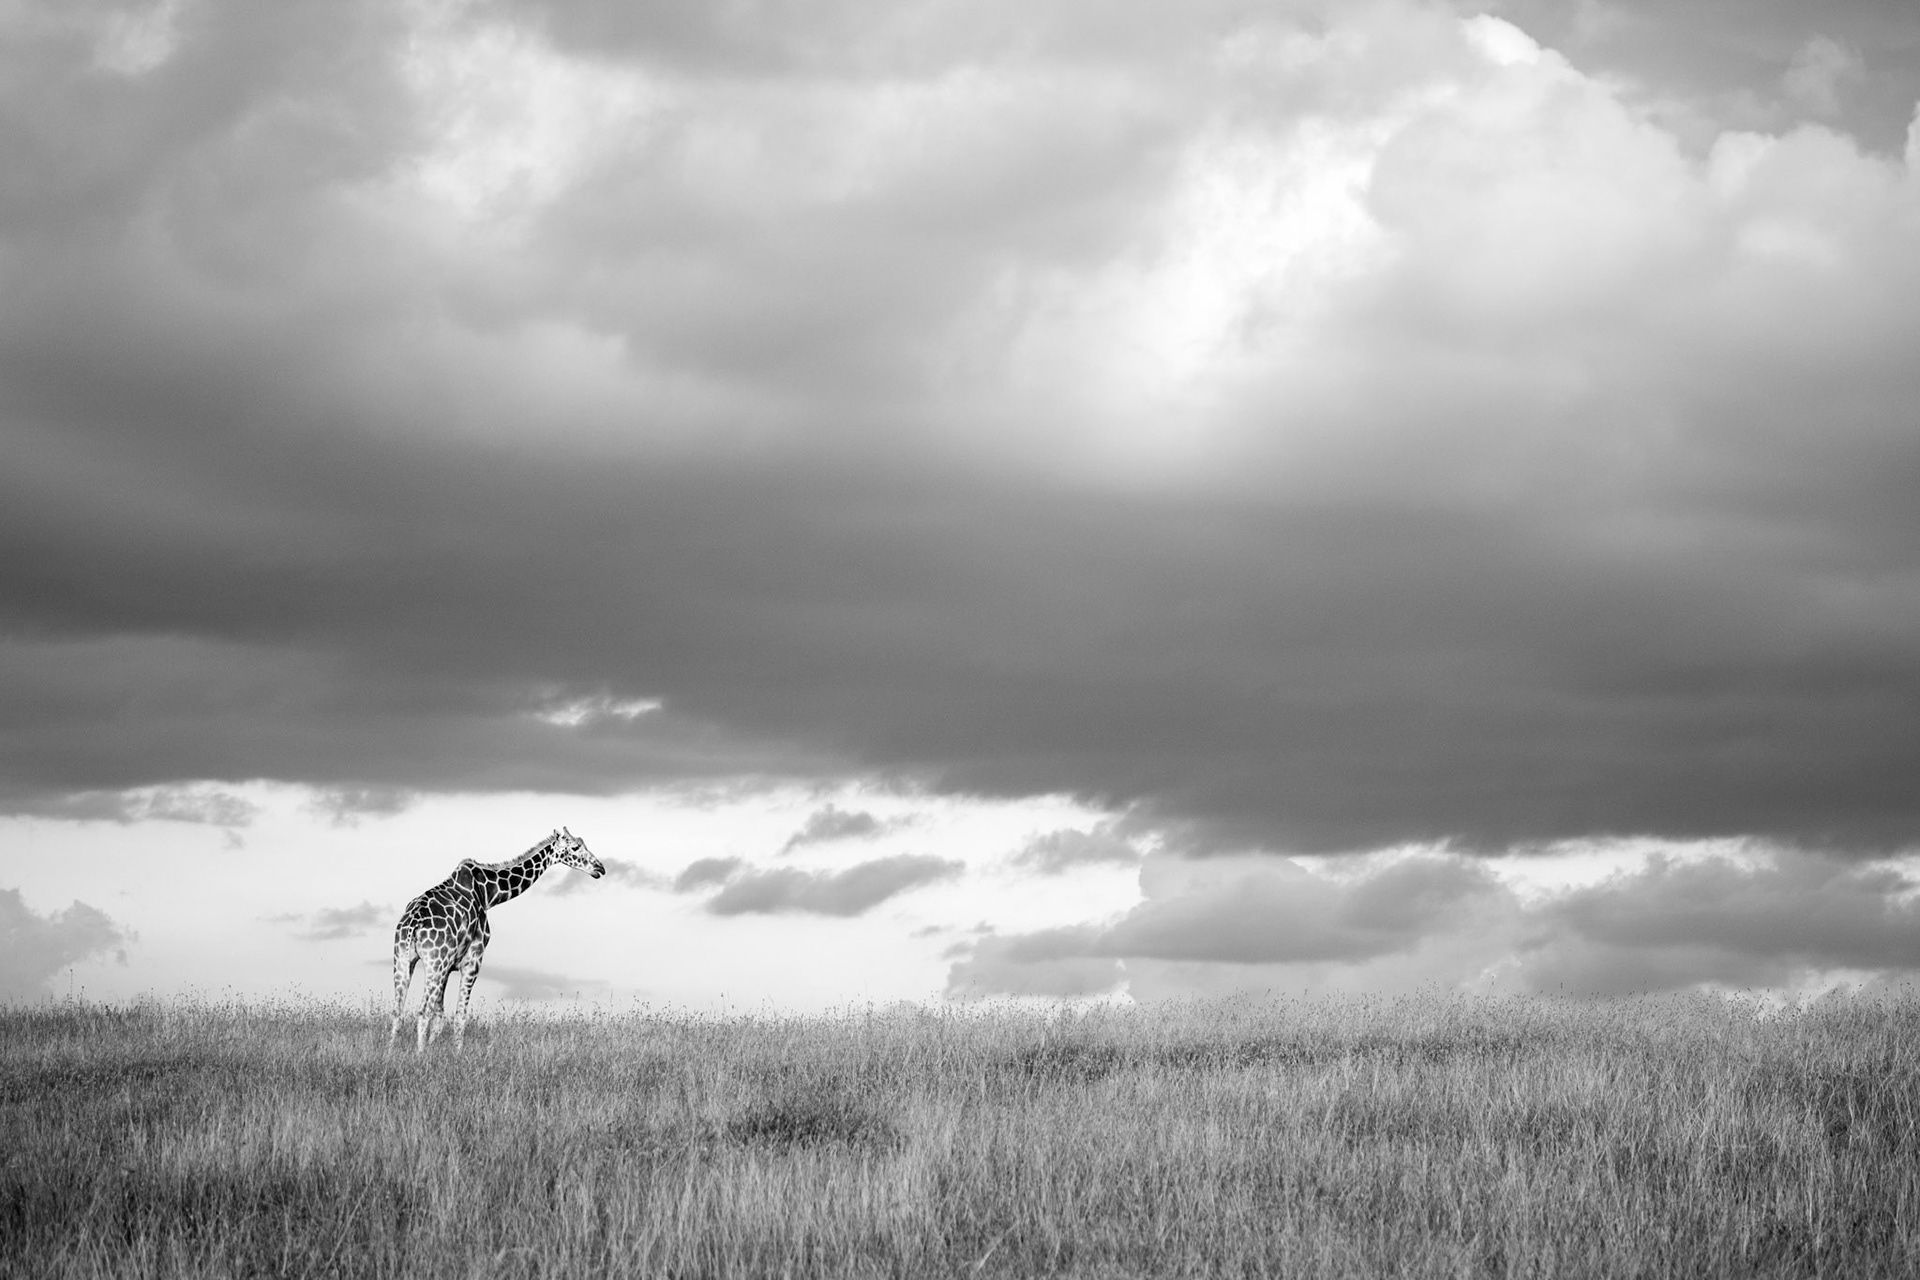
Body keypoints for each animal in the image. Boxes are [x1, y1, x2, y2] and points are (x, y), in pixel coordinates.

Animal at [389, 827, 605, 1053]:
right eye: (575, 847)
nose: (600, 868)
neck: (487, 894)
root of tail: (413, 923)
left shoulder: (448, 967)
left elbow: (440, 1016)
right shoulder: (473, 960)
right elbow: (459, 1016)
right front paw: (456, 1054)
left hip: (403, 959)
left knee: (397, 1011)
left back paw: (390, 1053)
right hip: (434, 962)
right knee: (422, 1011)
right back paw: (419, 1055)